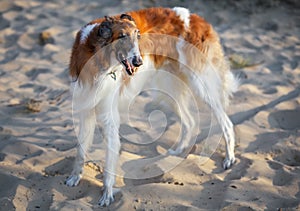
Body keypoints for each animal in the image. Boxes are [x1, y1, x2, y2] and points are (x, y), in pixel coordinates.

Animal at [66, 7, 239, 206]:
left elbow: (109, 160)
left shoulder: (109, 116)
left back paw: (229, 158)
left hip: (201, 86)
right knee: (190, 121)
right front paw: (74, 178)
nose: (138, 62)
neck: (97, 58)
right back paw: (177, 151)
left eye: (138, 35)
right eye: (121, 36)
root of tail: (199, 20)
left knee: (226, 123)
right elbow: (81, 150)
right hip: (169, 88)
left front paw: (107, 194)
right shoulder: (86, 110)